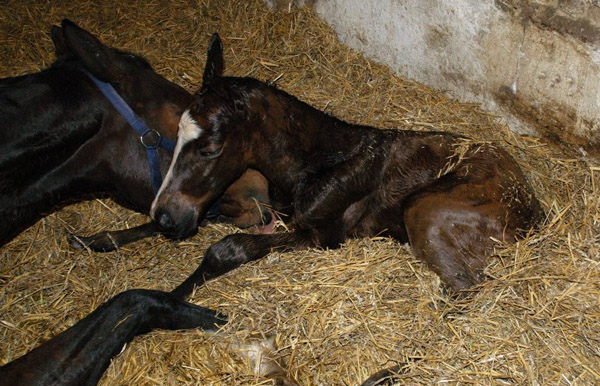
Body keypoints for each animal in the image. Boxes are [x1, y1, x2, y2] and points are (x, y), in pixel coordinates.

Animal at [151, 34, 544, 298]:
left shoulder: (323, 236)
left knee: (470, 288)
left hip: (425, 210)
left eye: (210, 150)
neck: (316, 162)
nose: (164, 216)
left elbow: (230, 247)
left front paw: (169, 300)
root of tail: (532, 206)